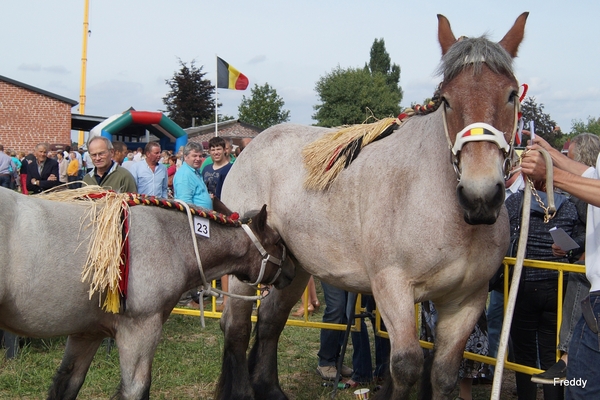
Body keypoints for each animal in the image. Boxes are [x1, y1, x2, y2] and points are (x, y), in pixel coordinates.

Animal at [0, 188, 292, 400]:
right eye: (278, 241)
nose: (291, 271)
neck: (171, 239)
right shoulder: (140, 330)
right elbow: (136, 390)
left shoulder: (87, 333)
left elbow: (66, 383)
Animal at [218, 10, 528, 398]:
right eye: (446, 99)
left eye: (511, 94)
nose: (480, 196)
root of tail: (250, 147)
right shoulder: (391, 288)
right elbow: (406, 366)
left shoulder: (466, 301)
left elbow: (443, 375)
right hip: (247, 270)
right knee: (237, 327)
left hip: (292, 267)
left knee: (271, 321)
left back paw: (270, 389)